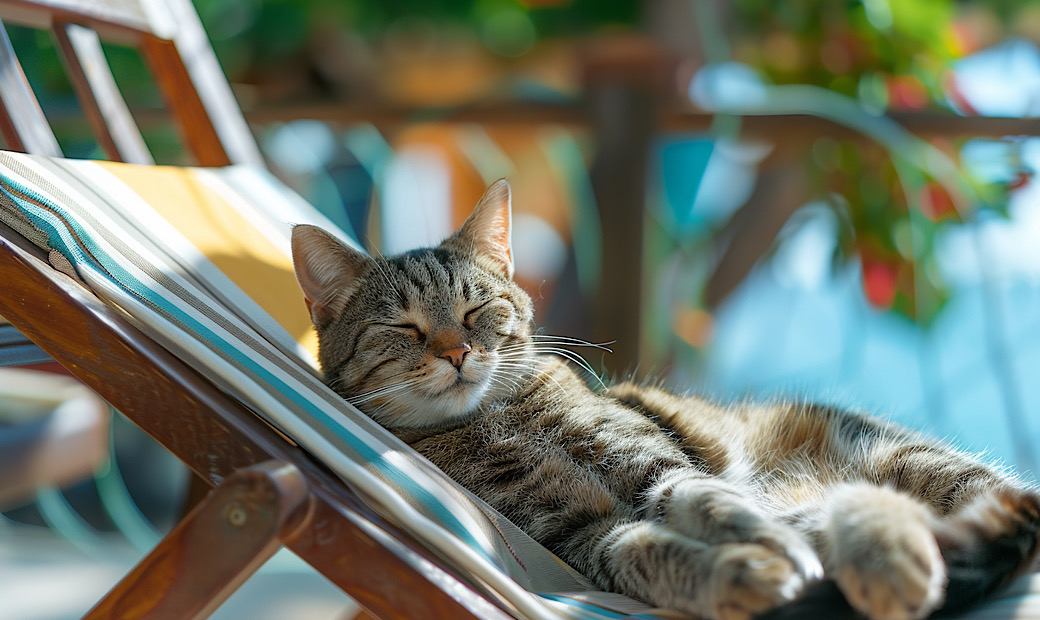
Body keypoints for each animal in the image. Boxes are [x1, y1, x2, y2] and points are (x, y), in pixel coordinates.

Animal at [291, 179, 1040, 620]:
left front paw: (762, 544)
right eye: (404, 328)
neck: (493, 419)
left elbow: (712, 501)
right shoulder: (576, 531)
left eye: (477, 310)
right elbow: (644, 549)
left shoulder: (657, 464)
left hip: (908, 459)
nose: (455, 353)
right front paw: (740, 575)